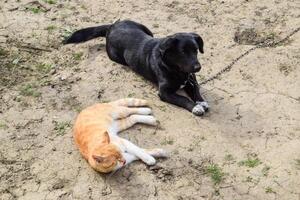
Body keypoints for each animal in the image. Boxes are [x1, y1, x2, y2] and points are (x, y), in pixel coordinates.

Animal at [64, 20, 209, 115]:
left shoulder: (191, 80)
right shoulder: (164, 92)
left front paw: (201, 102)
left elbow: (196, 90)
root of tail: (112, 26)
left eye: (196, 50)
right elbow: (183, 99)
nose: (198, 67)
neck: (176, 70)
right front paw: (195, 107)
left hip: (146, 28)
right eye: (183, 52)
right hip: (117, 57)